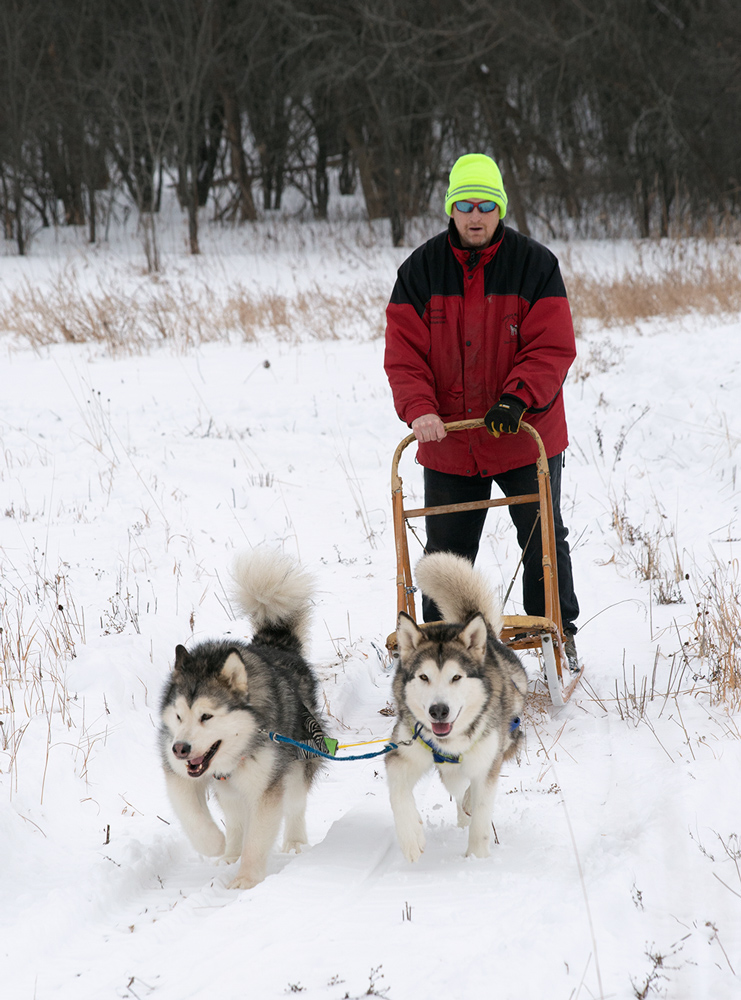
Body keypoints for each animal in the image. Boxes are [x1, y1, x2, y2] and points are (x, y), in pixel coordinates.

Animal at [160, 548, 326, 892]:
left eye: (206, 716)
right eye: (179, 715)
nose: (180, 749)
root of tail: (276, 645)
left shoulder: (267, 785)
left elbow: (259, 835)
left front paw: (247, 878)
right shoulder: (177, 773)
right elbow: (192, 814)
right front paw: (215, 844)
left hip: (296, 762)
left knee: (294, 804)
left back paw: (294, 842)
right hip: (230, 787)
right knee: (235, 817)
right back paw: (230, 852)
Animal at [388, 552, 528, 864]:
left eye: (456, 677)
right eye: (424, 677)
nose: (438, 711)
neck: (449, 743)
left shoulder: (487, 763)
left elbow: (482, 815)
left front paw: (476, 859)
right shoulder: (403, 752)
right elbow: (397, 793)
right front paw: (411, 838)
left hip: (508, 734)